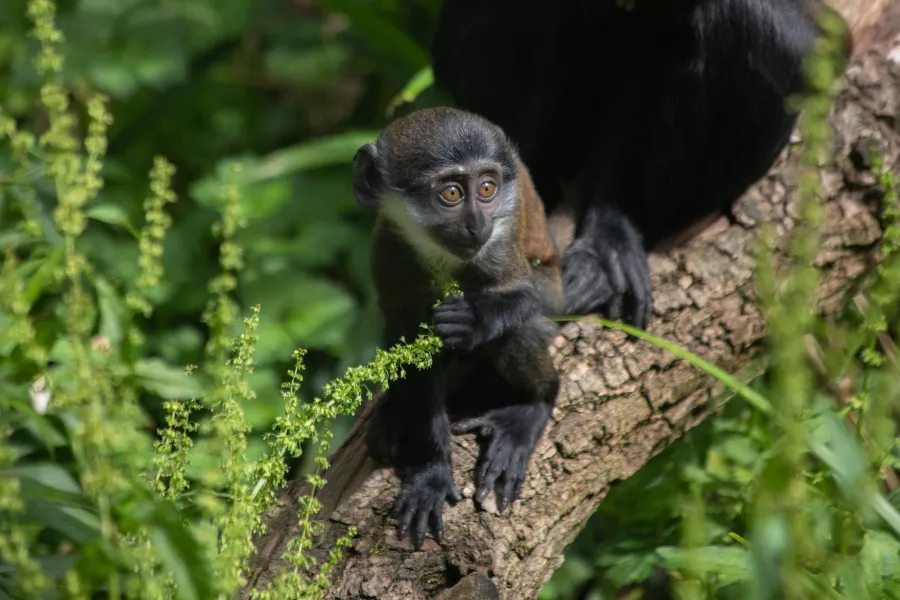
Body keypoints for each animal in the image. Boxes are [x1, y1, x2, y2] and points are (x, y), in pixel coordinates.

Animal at [354, 106, 560, 548]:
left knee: (518, 331)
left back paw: (536, 404)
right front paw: (432, 471)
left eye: (486, 188)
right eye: (451, 194)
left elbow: (527, 296)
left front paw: (474, 318)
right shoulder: (388, 249)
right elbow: (407, 338)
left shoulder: (498, 244)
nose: (476, 224)